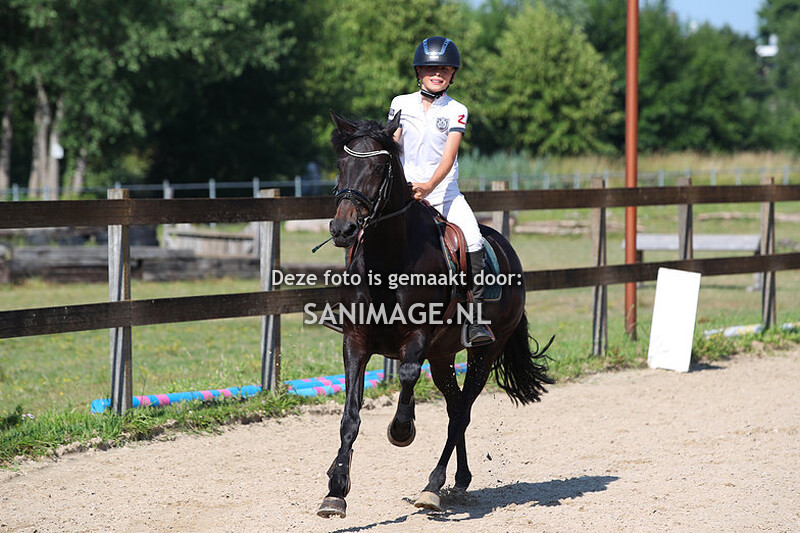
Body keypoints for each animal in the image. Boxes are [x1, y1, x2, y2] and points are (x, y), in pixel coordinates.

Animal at [317, 112, 554, 518]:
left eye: (378, 167)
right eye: (341, 164)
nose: (342, 229)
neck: (389, 259)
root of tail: (506, 248)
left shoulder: (417, 339)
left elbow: (408, 376)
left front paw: (402, 430)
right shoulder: (356, 342)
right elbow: (350, 416)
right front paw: (336, 488)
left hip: (483, 353)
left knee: (462, 412)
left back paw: (432, 487)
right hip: (443, 357)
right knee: (455, 405)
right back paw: (459, 480)